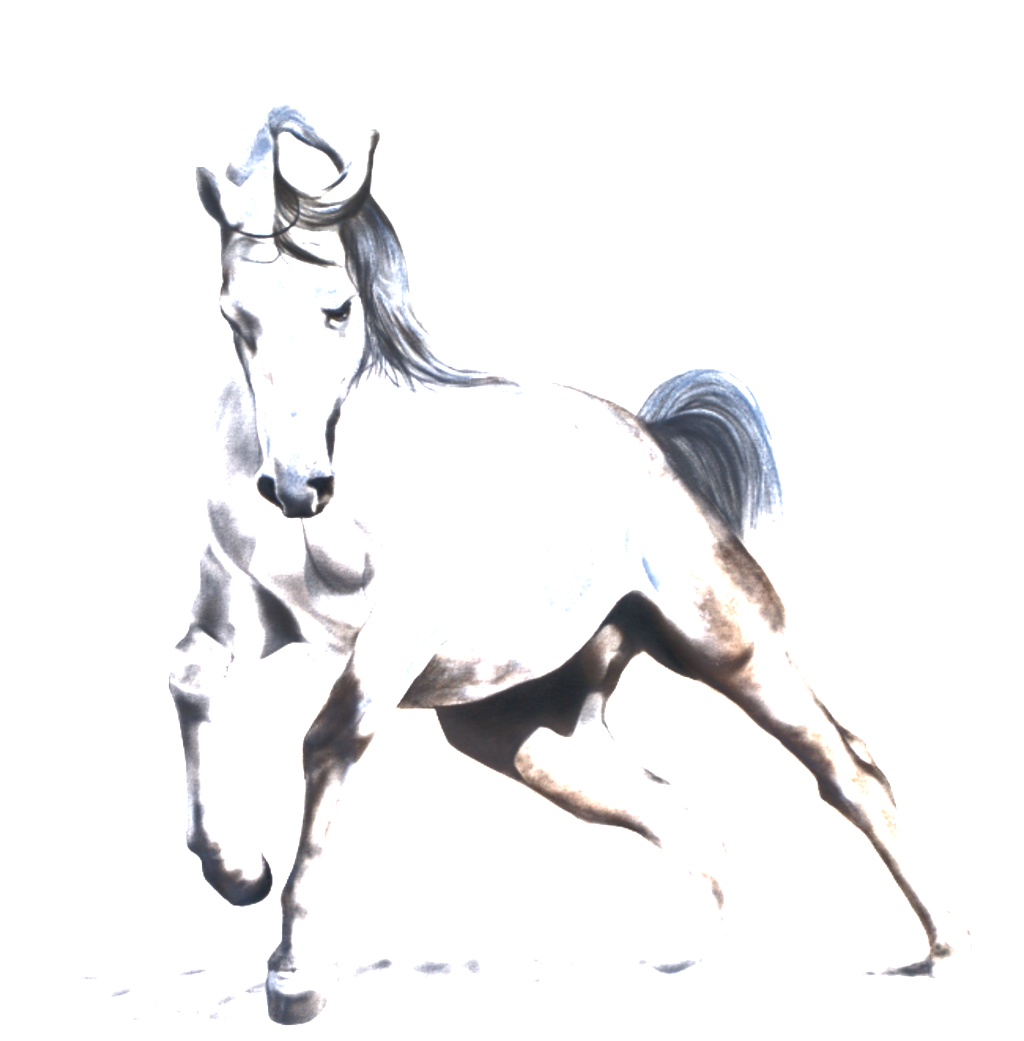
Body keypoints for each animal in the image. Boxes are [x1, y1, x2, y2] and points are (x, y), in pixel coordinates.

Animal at [170, 104, 966, 1025]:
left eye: (337, 308)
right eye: (235, 314)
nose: (296, 485)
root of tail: (656, 439)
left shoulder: (397, 633)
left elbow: (329, 738)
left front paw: (295, 973)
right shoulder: (243, 609)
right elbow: (191, 679)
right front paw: (237, 871)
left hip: (733, 645)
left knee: (850, 770)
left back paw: (945, 949)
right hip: (524, 729)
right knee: (680, 813)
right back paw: (698, 964)